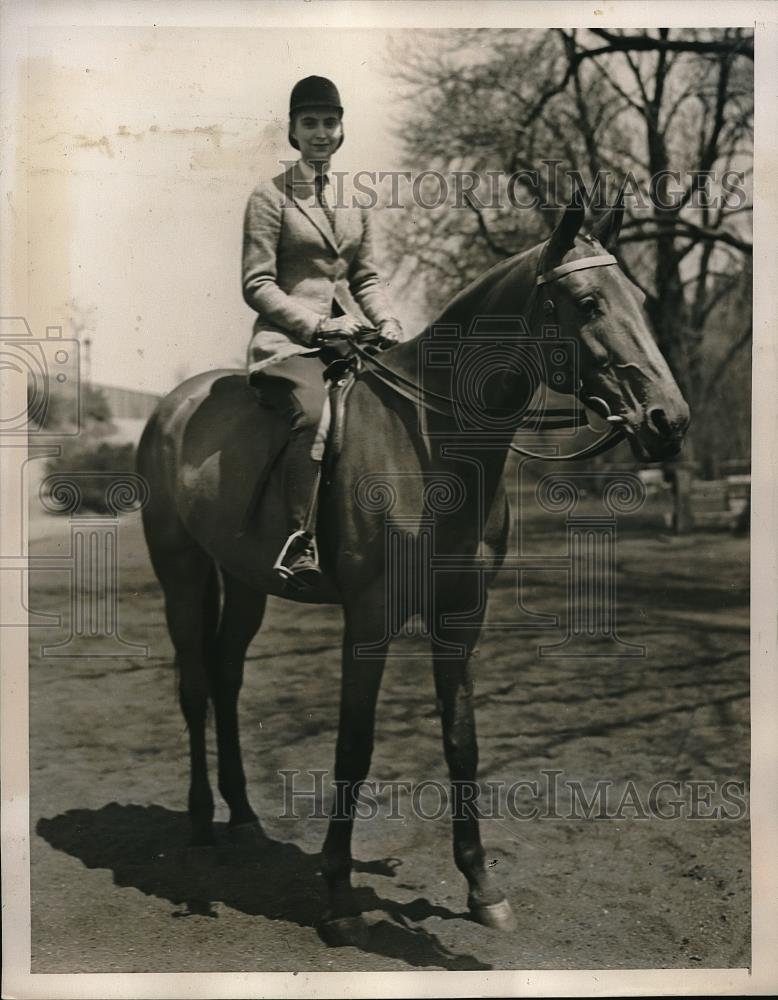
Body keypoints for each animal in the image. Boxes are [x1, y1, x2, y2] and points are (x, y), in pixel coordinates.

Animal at [136, 193, 688, 944]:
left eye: (637, 296)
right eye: (586, 301)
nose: (669, 420)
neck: (430, 442)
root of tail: (174, 404)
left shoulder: (461, 613)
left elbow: (461, 740)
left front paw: (482, 885)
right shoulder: (369, 617)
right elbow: (354, 745)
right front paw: (338, 893)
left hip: (246, 581)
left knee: (225, 675)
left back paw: (244, 817)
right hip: (182, 571)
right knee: (194, 683)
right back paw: (199, 823)